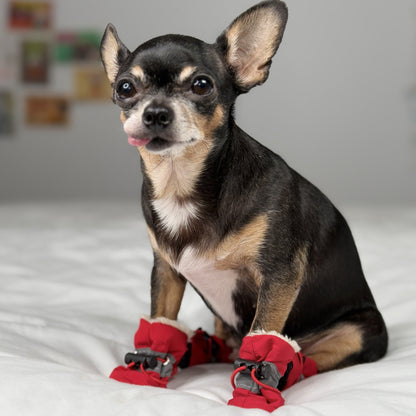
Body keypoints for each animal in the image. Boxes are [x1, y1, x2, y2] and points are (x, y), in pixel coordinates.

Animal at [101, 0, 386, 410]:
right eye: (125, 88)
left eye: (201, 85)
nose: (154, 112)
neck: (181, 185)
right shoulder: (167, 273)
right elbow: (160, 322)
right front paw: (148, 368)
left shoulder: (280, 276)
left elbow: (263, 334)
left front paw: (253, 388)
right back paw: (199, 350)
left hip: (358, 332)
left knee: (304, 356)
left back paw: (278, 372)